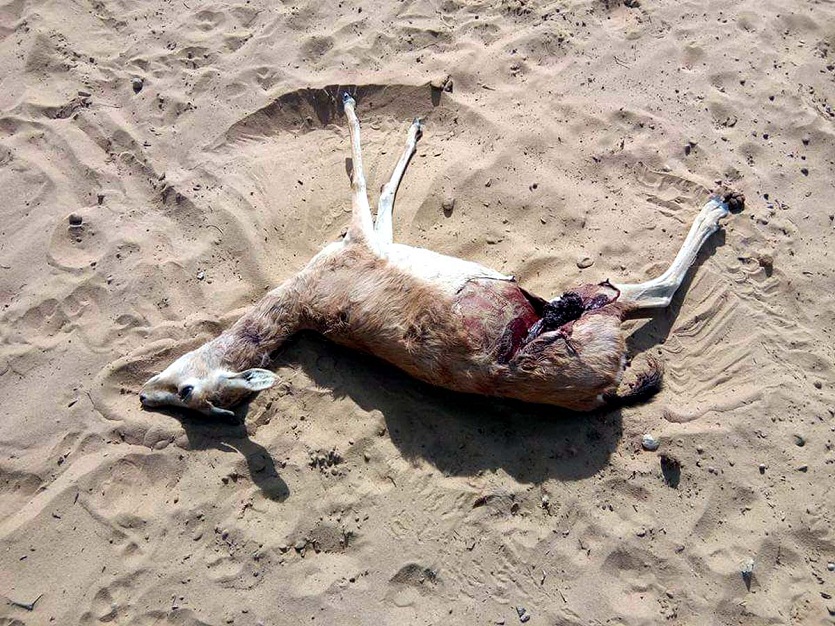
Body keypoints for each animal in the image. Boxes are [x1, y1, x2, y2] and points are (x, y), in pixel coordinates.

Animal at [139, 93, 743, 419]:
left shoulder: (367, 237)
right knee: (656, 294)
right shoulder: (363, 239)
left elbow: (379, 187)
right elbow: (365, 178)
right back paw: (718, 206)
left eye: (186, 392)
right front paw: (363, 105)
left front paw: (406, 122)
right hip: (596, 301)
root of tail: (604, 390)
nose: (145, 397)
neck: (308, 299)